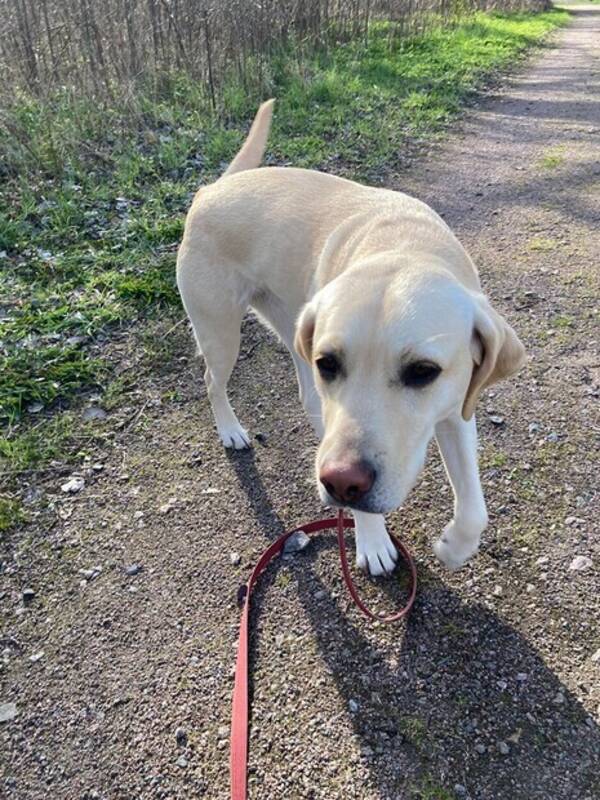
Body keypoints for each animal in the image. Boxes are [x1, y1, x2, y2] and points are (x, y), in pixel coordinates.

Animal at [177, 100, 524, 576]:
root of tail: (214, 187)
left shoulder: (458, 408)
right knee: (213, 381)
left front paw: (455, 546)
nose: (340, 482)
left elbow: (474, 507)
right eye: (331, 364)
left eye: (423, 372)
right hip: (221, 331)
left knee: (306, 395)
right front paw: (373, 540)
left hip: (293, 327)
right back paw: (230, 430)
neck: (401, 246)